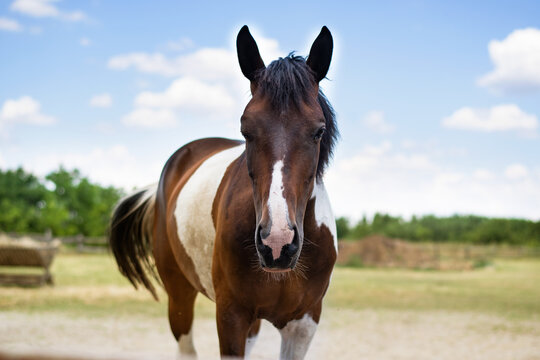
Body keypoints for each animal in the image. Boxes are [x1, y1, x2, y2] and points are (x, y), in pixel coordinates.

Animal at [108, 23, 338, 358]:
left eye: (318, 130)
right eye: (246, 130)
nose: (277, 243)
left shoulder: (304, 324)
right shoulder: (231, 317)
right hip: (179, 296)